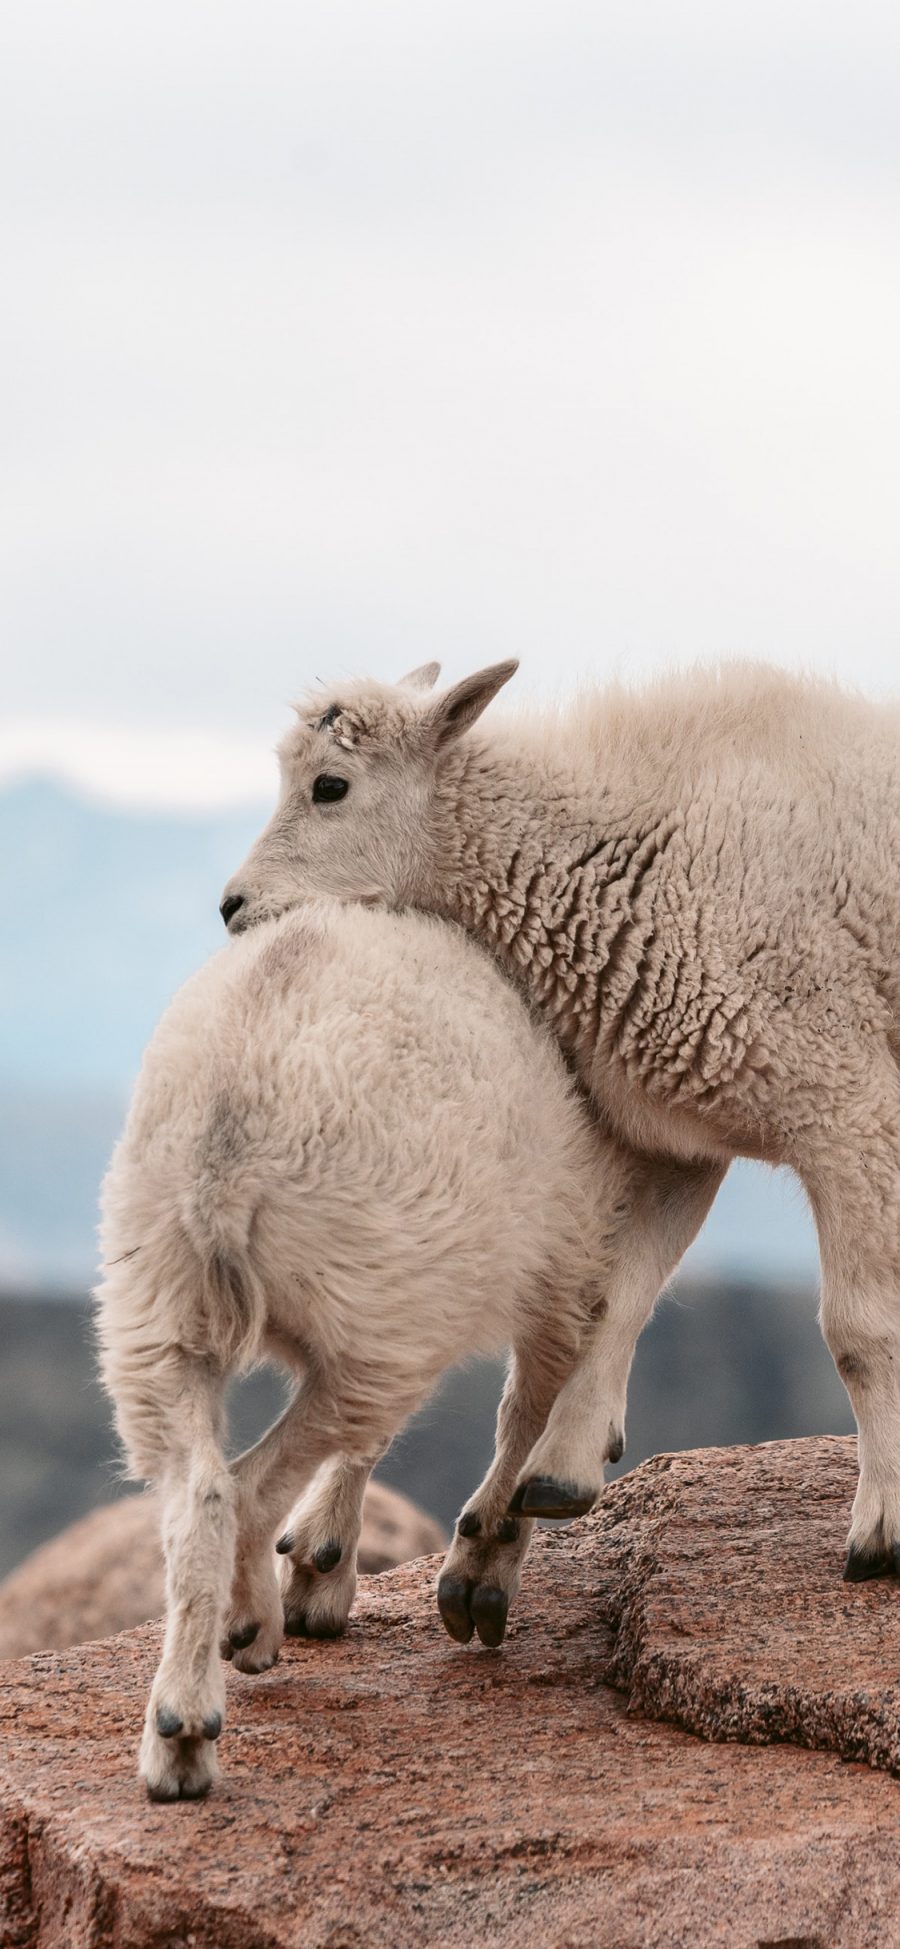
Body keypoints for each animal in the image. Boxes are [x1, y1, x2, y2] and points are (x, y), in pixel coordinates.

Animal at [94, 892, 662, 1793]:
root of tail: (229, 1143)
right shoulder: (564, 1254)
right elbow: (532, 1400)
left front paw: (322, 1569)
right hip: (381, 1309)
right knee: (258, 1480)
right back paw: (247, 1635)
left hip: (156, 1308)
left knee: (202, 1494)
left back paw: (179, 1730)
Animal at [221, 658, 900, 1582]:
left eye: (331, 785)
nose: (233, 906)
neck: (615, 853)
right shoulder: (672, 1137)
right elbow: (611, 1299)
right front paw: (558, 1477)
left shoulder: (847, 1106)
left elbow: (858, 1328)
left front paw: (882, 1527)